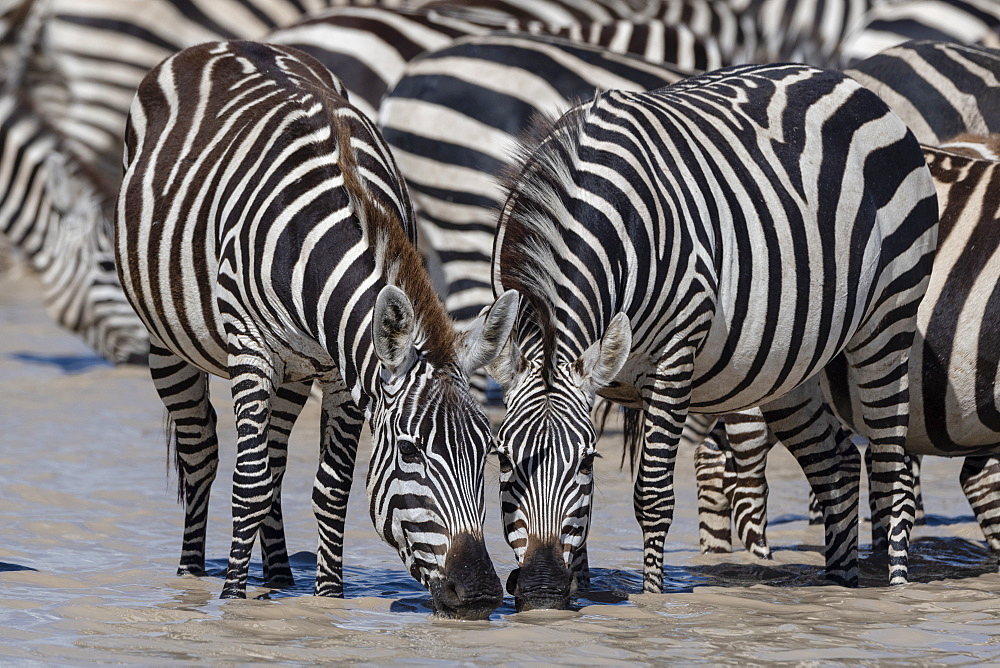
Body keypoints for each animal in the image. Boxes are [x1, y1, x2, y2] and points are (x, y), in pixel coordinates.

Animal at [114, 40, 520, 616]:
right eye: (410, 451)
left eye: (486, 452)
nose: (481, 593)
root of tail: (226, 43)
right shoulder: (252, 351)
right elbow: (248, 482)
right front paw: (232, 600)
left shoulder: (341, 369)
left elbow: (329, 489)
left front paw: (328, 599)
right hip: (167, 344)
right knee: (202, 455)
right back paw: (190, 576)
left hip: (294, 369)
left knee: (276, 462)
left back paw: (281, 578)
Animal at [488, 64, 940, 612]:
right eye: (503, 459)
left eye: (586, 463)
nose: (541, 591)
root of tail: (842, 79)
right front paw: (578, 593)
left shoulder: (674, 353)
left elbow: (653, 495)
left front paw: (653, 604)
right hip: (792, 362)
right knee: (837, 463)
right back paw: (837, 586)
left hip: (889, 319)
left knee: (891, 469)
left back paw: (896, 594)